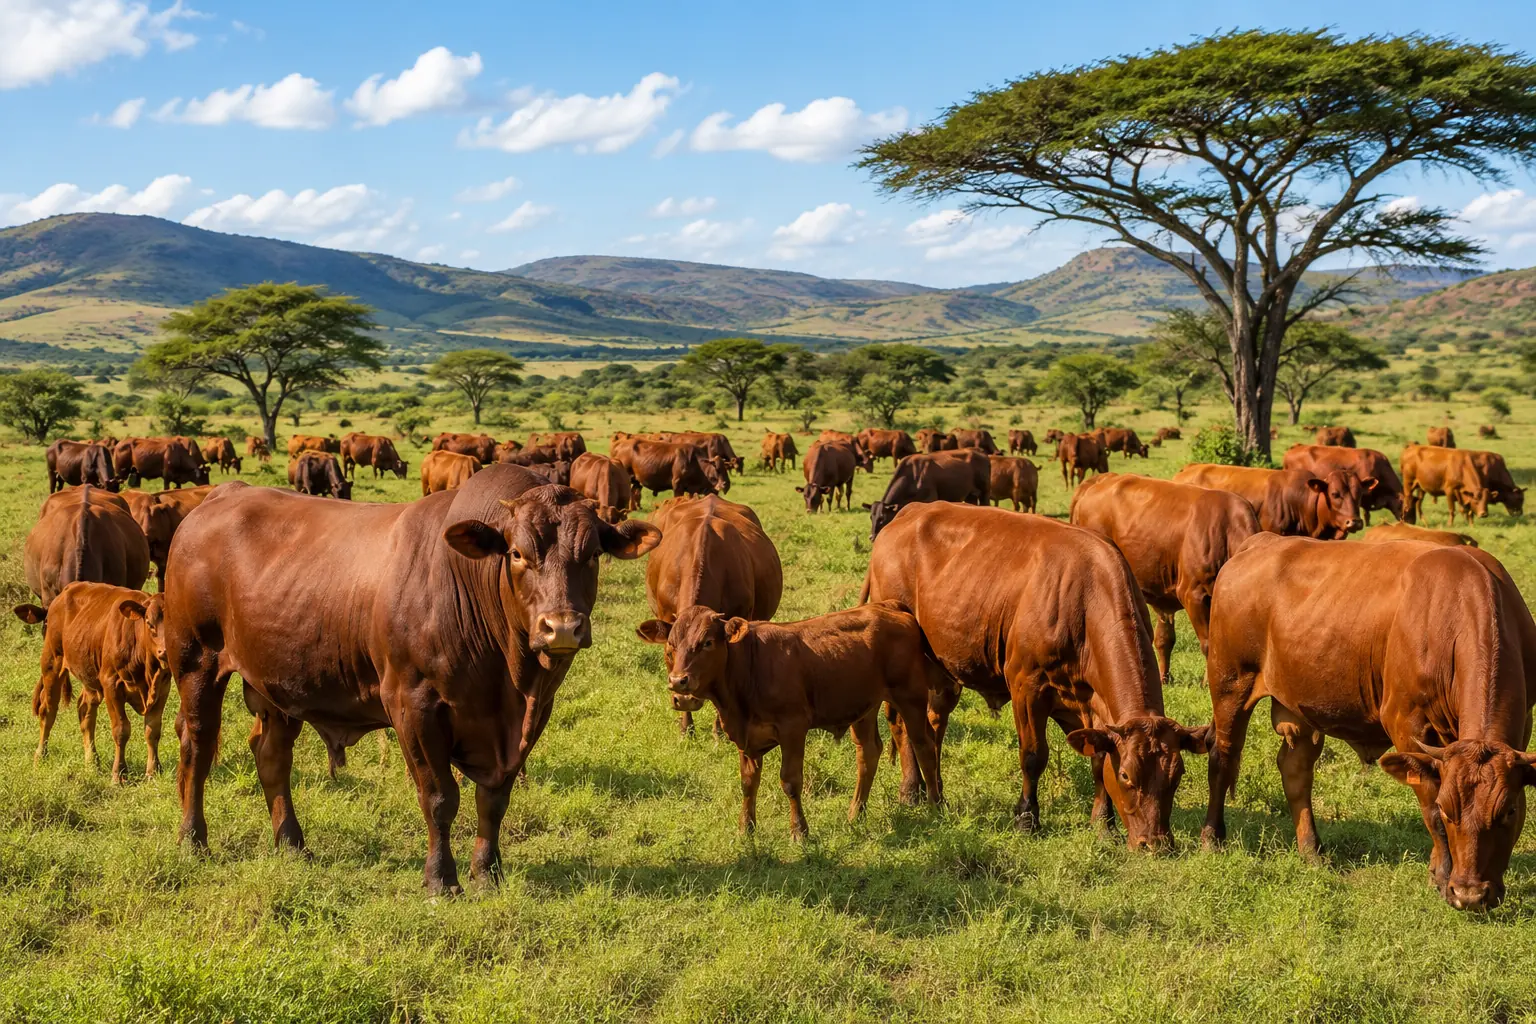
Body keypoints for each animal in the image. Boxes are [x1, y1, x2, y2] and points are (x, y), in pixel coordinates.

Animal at [13, 584, 169, 783]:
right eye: (149, 623)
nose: (164, 652)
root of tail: (67, 589)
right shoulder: (111, 684)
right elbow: (121, 730)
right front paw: (119, 774)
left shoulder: (162, 686)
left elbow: (152, 730)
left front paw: (153, 771)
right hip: (52, 663)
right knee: (48, 711)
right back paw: (40, 755)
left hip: (88, 674)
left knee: (85, 712)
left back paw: (92, 762)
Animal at [162, 469, 662, 893]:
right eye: (518, 554)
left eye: (593, 555)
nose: (561, 627)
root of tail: (222, 496)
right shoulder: (414, 705)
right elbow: (440, 797)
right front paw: (441, 879)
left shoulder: (528, 721)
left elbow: (493, 800)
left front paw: (488, 873)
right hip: (196, 662)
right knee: (197, 746)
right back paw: (192, 840)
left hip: (279, 685)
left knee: (272, 758)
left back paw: (292, 844)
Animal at [638, 603, 946, 837]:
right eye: (671, 646)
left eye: (707, 643)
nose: (678, 682)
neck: (749, 668)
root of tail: (888, 606)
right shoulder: (746, 736)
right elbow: (748, 782)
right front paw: (746, 829)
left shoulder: (793, 728)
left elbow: (790, 781)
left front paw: (799, 831)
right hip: (865, 707)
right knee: (868, 754)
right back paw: (855, 814)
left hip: (910, 698)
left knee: (924, 747)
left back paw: (936, 807)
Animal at [861, 503, 1210, 848]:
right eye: (1126, 775)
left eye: (1177, 775)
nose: (1156, 843)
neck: (1086, 599)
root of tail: (908, 512)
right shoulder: (1027, 686)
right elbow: (1033, 755)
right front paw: (1027, 818)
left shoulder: (1093, 704)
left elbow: (1098, 760)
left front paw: (1104, 824)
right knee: (901, 722)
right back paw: (911, 790)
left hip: (945, 669)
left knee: (933, 724)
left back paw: (935, 790)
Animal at [1201, 536, 1536, 910]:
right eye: (1449, 810)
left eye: (1509, 811)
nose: (1470, 895)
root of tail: (1261, 541)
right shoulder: (1406, 723)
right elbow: (1429, 806)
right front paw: (1442, 875)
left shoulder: (1522, 723)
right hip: (1230, 683)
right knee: (1222, 756)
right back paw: (1212, 837)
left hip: (1298, 702)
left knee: (1296, 771)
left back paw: (1312, 851)